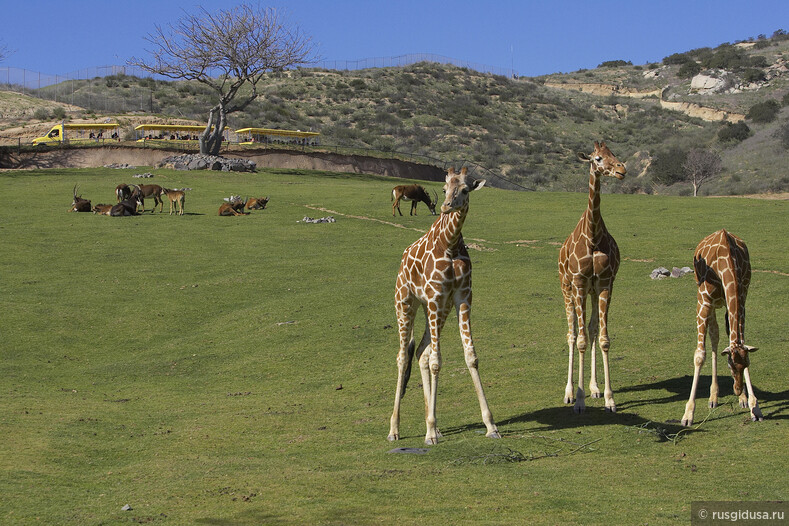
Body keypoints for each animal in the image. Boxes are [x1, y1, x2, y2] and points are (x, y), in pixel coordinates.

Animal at [388, 168, 498, 446]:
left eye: (466, 190)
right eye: (445, 187)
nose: (446, 206)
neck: (449, 243)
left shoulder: (461, 296)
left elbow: (471, 356)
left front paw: (491, 425)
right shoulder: (436, 296)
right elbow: (438, 361)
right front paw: (428, 432)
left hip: (438, 309)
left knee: (421, 352)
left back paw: (434, 427)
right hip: (406, 302)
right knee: (403, 356)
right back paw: (395, 429)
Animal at [556, 142, 624, 414]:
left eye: (614, 155)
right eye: (598, 158)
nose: (621, 170)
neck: (593, 236)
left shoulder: (605, 283)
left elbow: (602, 338)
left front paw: (608, 398)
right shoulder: (579, 283)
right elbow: (581, 340)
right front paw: (579, 400)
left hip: (592, 291)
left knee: (593, 329)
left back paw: (594, 388)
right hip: (567, 287)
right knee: (572, 333)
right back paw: (568, 393)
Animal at [680, 231, 760, 428]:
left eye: (747, 364)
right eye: (730, 365)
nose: (737, 389)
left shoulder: (742, 299)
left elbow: (741, 341)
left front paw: (753, 406)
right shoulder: (703, 301)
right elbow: (700, 356)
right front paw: (688, 415)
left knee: (719, 334)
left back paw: (738, 398)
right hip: (711, 304)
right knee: (714, 335)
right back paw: (713, 397)